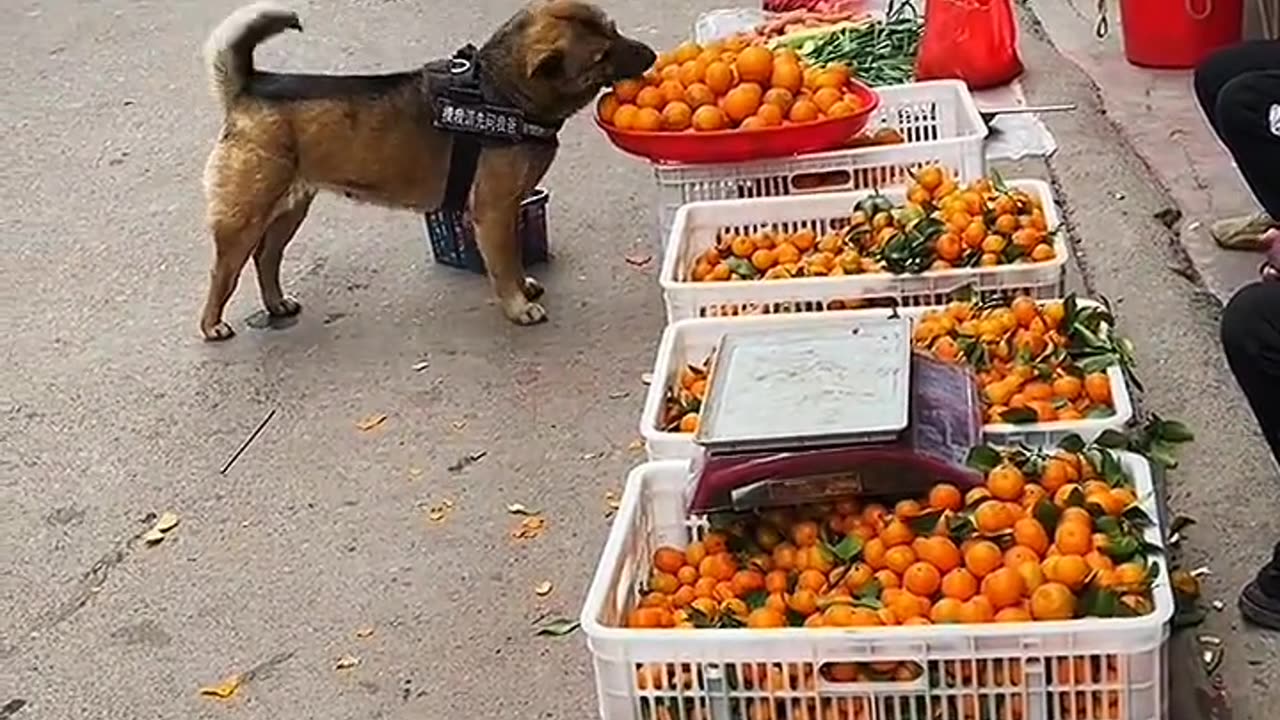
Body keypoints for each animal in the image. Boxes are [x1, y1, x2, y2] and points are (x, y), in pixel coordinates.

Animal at [199, 0, 660, 338]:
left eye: (614, 29)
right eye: (602, 55)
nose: (653, 54)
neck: (501, 90)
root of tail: (249, 85)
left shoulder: (508, 209)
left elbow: (514, 259)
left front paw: (523, 284)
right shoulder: (493, 211)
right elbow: (504, 265)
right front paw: (517, 304)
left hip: (291, 210)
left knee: (266, 258)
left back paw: (275, 302)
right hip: (243, 220)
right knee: (224, 272)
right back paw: (212, 324)